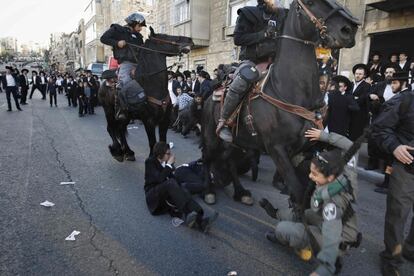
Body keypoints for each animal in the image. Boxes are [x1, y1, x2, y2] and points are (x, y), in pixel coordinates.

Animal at [100, 27, 194, 161]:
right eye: (165, 36)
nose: (189, 40)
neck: (150, 83)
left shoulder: (164, 120)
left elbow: (163, 141)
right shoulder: (148, 121)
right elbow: (152, 142)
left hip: (126, 116)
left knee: (121, 129)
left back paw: (128, 152)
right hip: (108, 110)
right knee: (111, 128)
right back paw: (117, 151)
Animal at [201, 0, 360, 205]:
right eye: (310, 3)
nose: (349, 29)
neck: (290, 91)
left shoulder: (300, 150)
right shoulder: (276, 148)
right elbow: (298, 191)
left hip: (236, 141)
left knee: (229, 160)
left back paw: (240, 191)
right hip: (211, 136)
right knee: (207, 158)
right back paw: (208, 190)